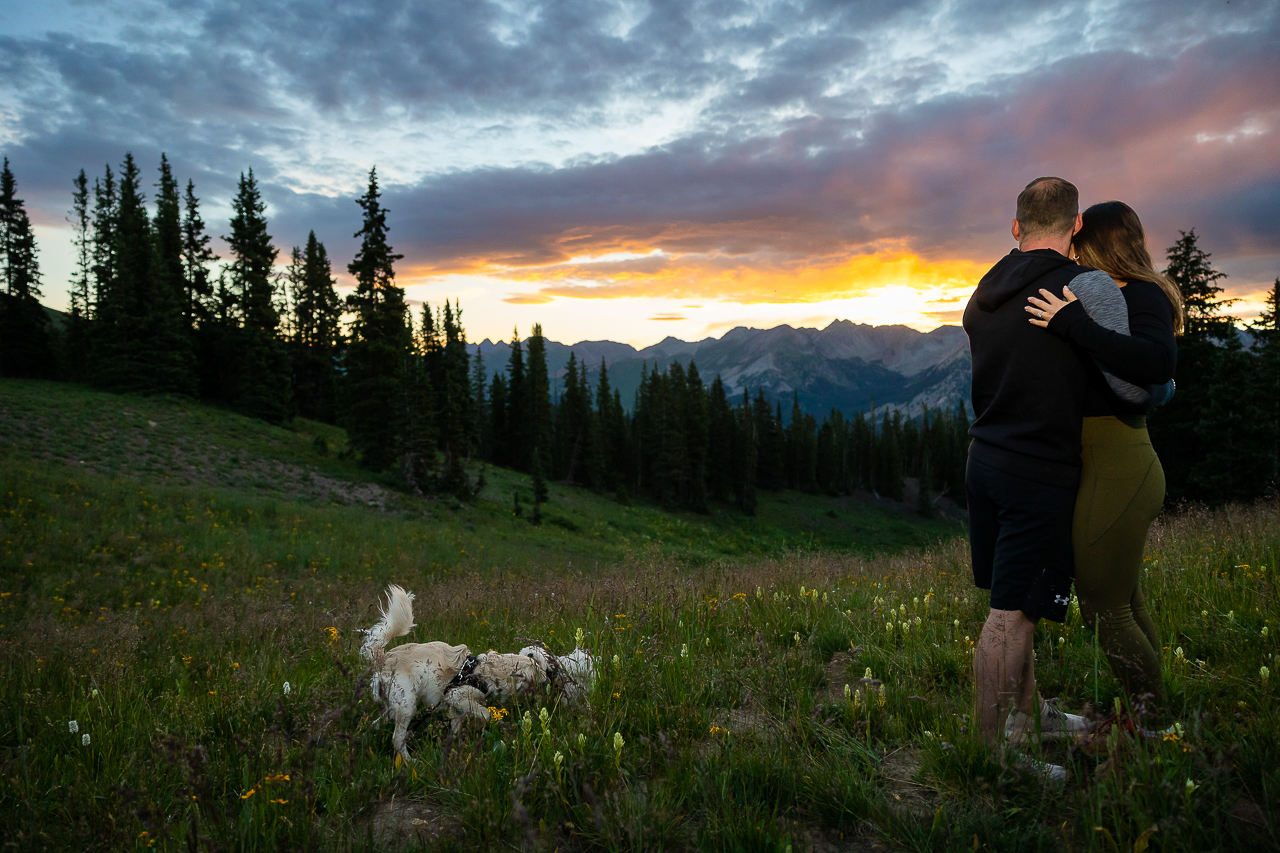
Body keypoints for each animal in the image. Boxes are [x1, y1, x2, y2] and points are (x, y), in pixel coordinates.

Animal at [360, 584, 599, 758]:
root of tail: (382, 657)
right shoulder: (457, 696)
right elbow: (487, 714)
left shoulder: (456, 707)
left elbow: (456, 727)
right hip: (406, 704)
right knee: (397, 739)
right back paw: (410, 764)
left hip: (394, 705)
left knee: (377, 724)